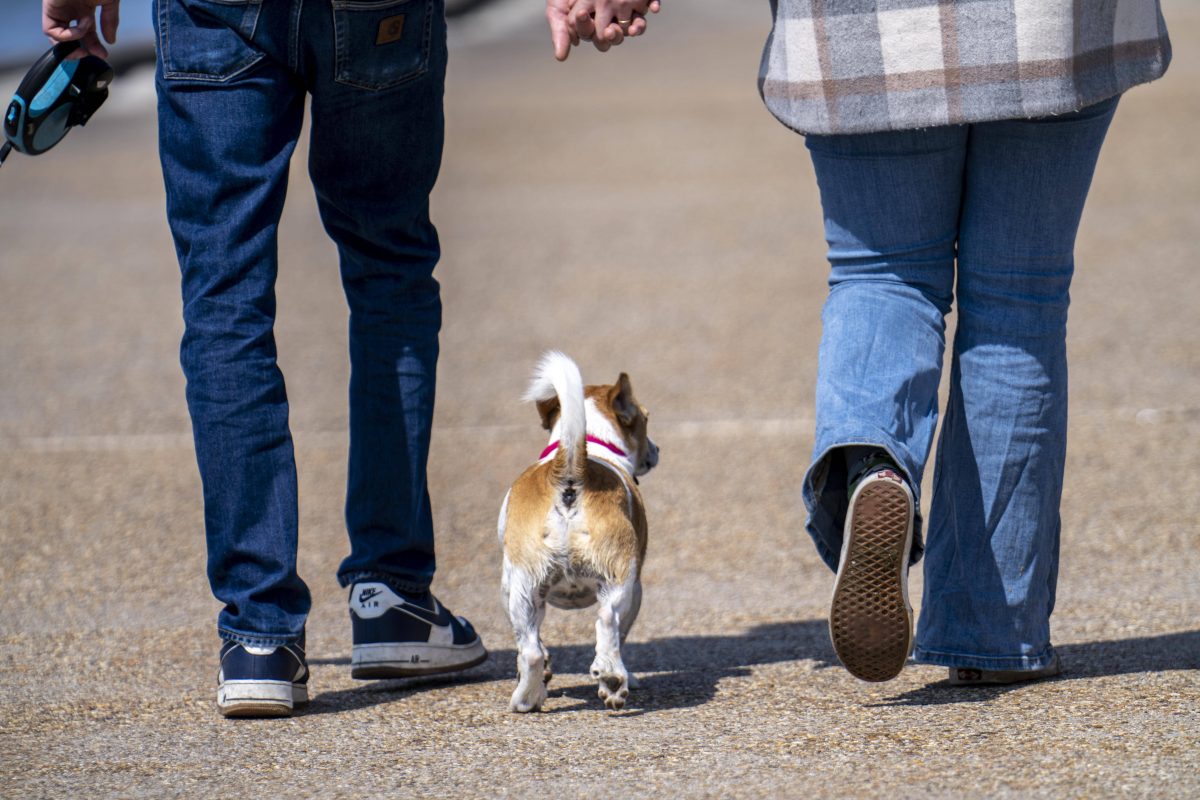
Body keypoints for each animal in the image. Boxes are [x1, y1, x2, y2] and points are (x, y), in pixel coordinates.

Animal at [499, 352, 662, 714]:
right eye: (645, 418)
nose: (657, 450)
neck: (590, 444)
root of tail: (572, 473)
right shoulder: (637, 589)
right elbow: (620, 635)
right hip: (618, 580)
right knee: (607, 622)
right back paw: (613, 680)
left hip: (524, 588)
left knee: (533, 650)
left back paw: (526, 699)